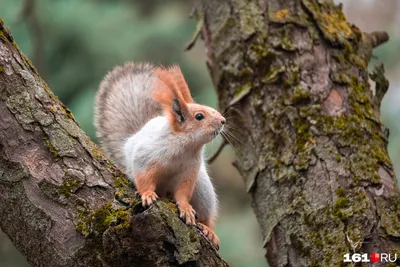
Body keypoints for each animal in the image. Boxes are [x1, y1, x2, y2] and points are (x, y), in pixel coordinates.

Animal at [94, 62, 225, 249]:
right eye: (199, 116)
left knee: (206, 216)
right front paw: (147, 194)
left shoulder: (189, 172)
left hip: (203, 190)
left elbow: (183, 192)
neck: (185, 147)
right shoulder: (145, 158)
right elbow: (144, 179)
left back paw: (209, 231)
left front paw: (185, 208)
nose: (223, 121)